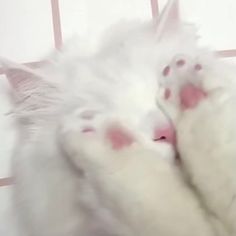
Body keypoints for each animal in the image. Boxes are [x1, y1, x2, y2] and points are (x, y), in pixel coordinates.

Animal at [1, 0, 234, 235]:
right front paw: (110, 139)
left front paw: (186, 86)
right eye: (102, 110)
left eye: (159, 80)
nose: (167, 132)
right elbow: (149, 195)